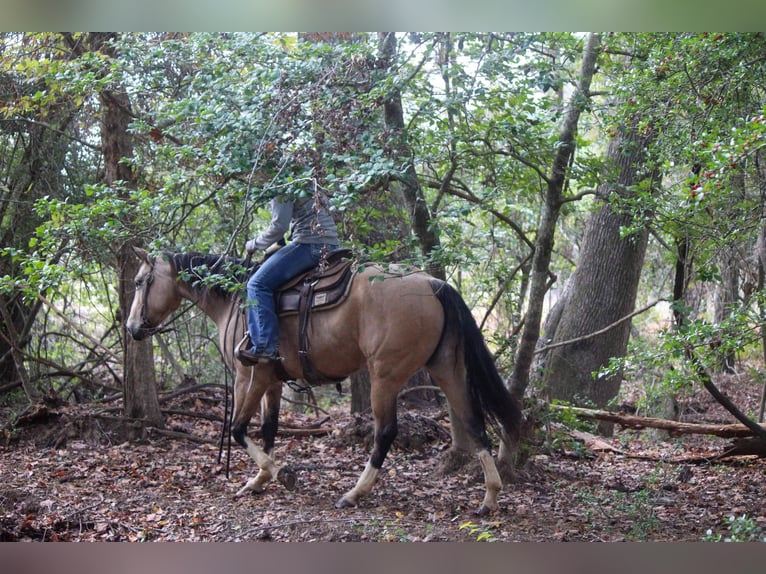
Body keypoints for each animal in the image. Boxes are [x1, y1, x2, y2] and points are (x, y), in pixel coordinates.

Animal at [126, 245, 520, 516]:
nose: (131, 328)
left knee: (386, 432)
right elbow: (269, 430)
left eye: (141, 281)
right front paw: (258, 481)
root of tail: (433, 283)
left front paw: (276, 472)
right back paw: (489, 497)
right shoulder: (272, 381)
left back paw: (355, 493)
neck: (236, 301)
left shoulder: (247, 376)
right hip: (446, 368)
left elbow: (238, 429)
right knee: (473, 420)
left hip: (385, 374)